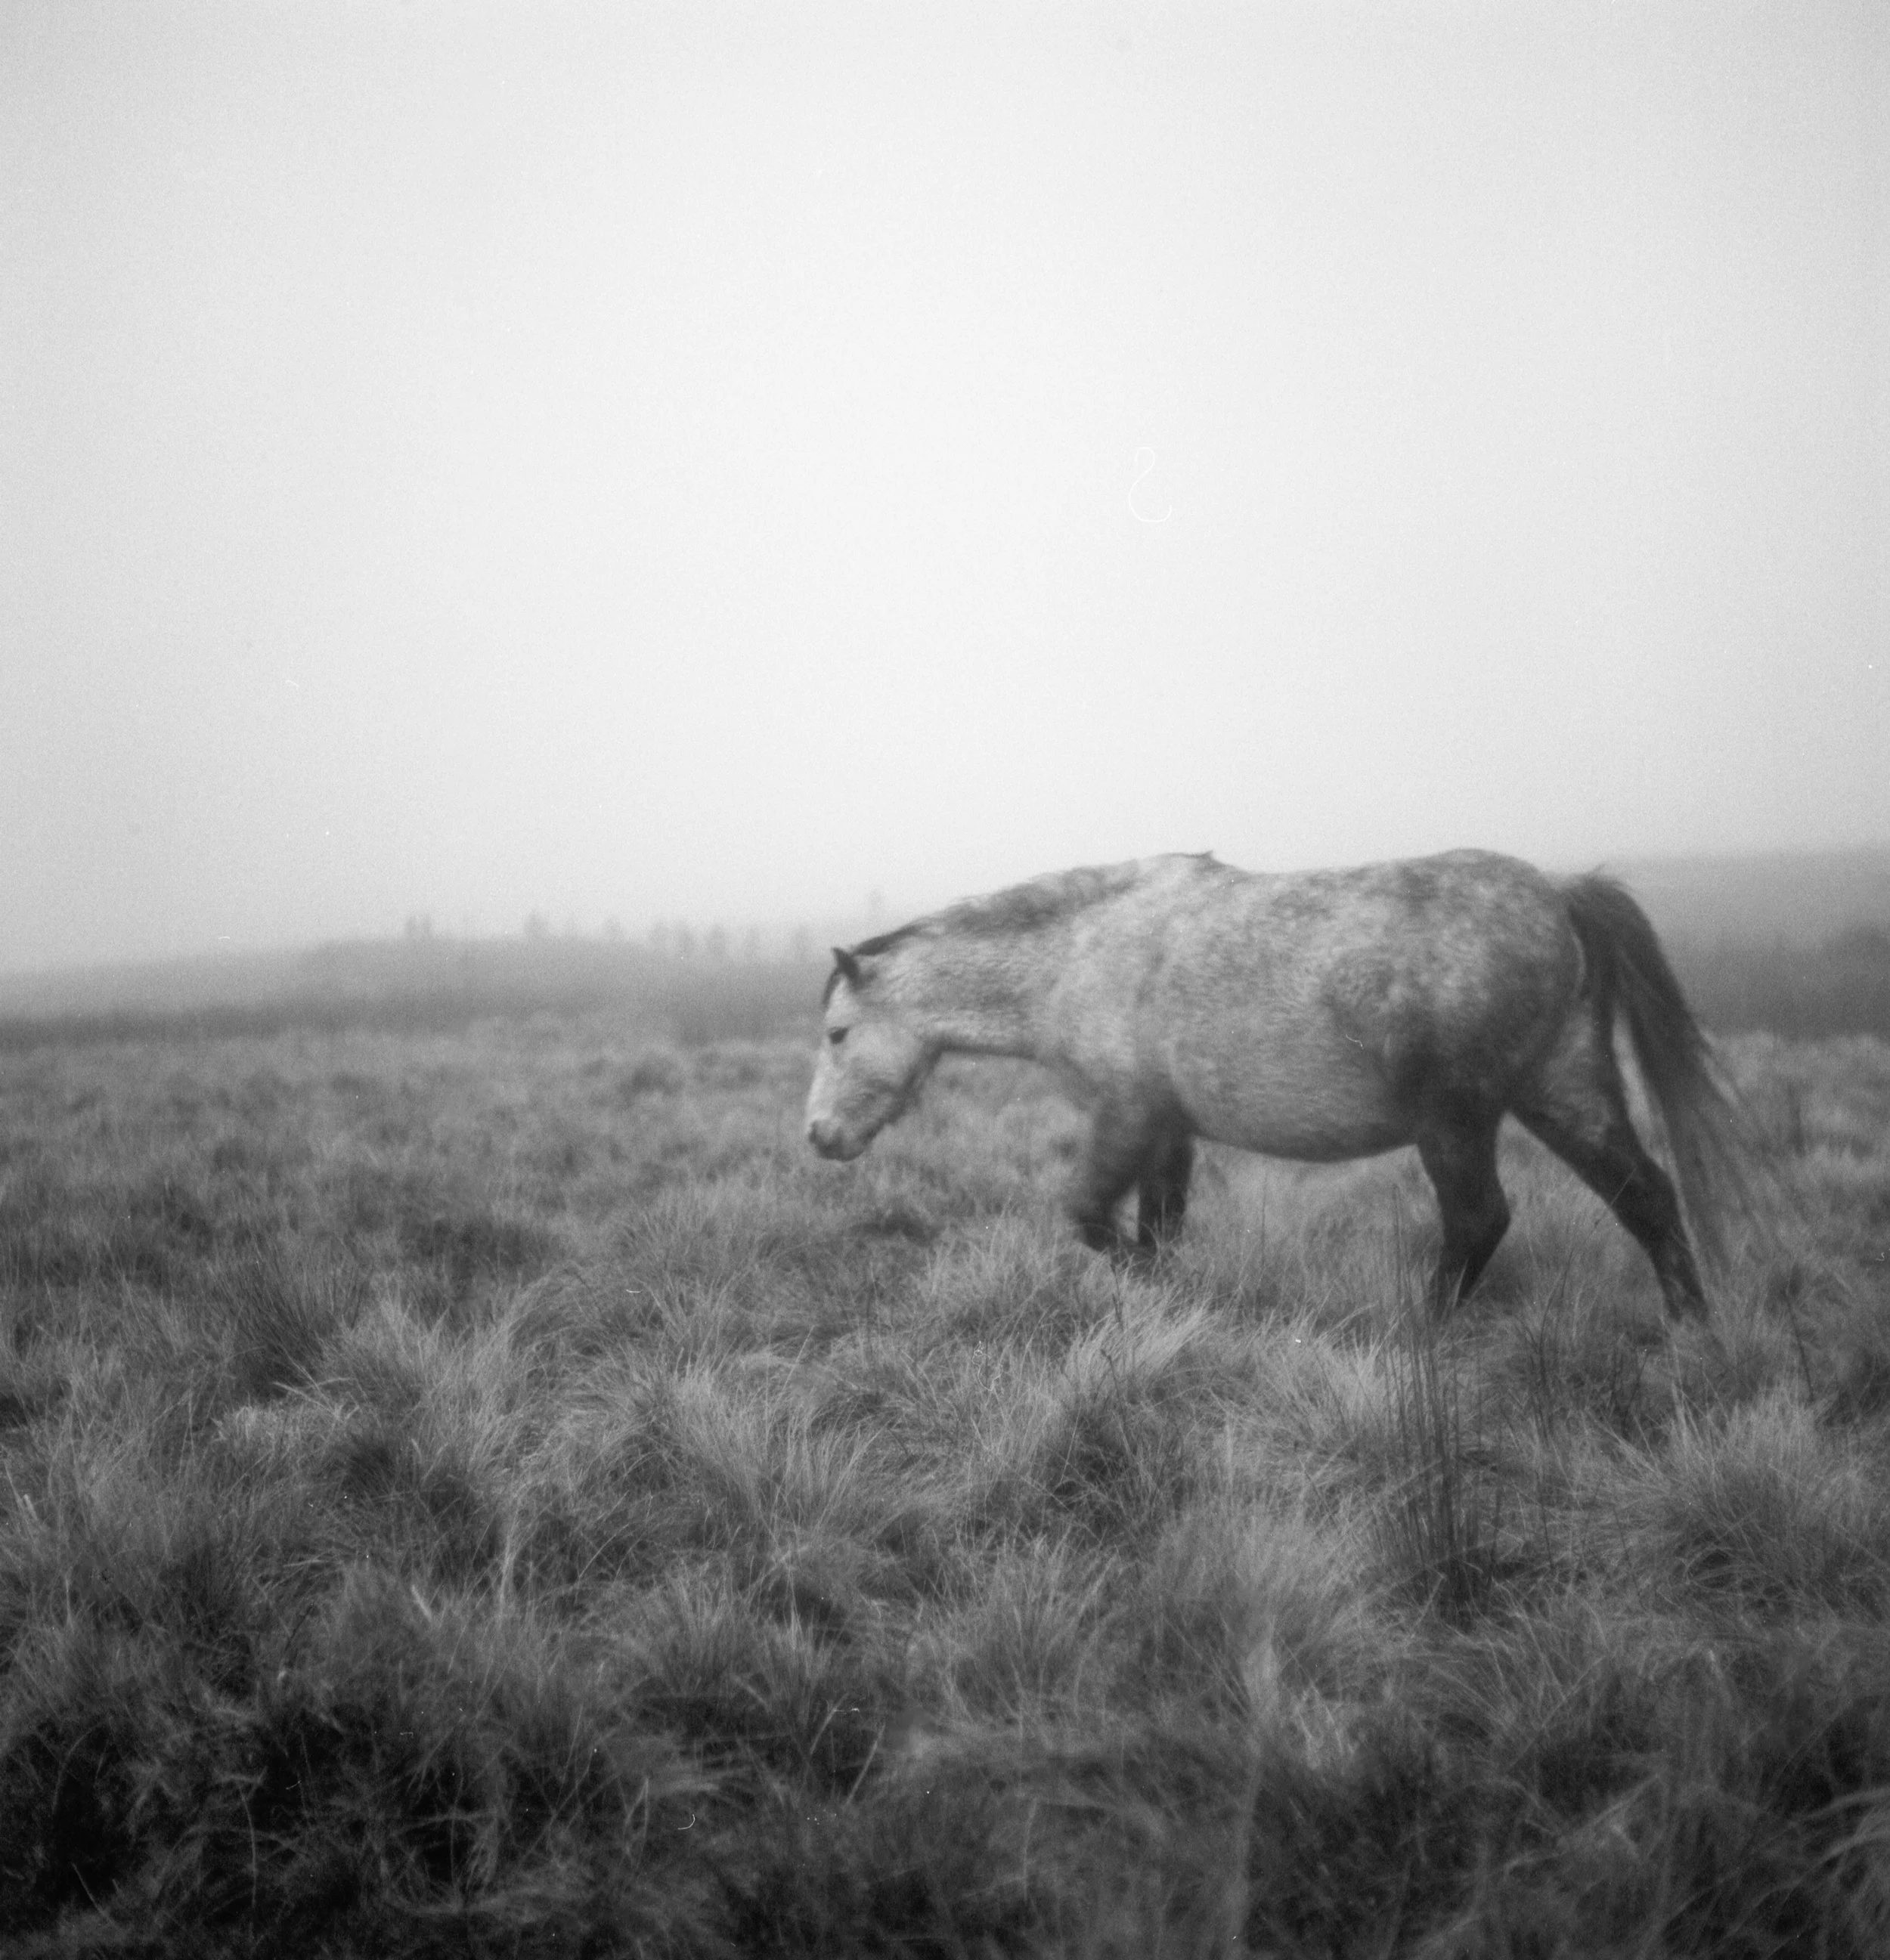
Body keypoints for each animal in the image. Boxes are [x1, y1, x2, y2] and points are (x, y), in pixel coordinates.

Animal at [804, 850, 1751, 1318]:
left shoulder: (1125, 1113)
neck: (1080, 949)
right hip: (1563, 1091)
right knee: (1645, 1197)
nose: (818, 1136)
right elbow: (1160, 1224)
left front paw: (1165, 1290)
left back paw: (1419, 1331)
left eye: (837, 1034)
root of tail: (1557, 894)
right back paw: (1691, 1328)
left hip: (1455, 1118)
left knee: (1480, 1219)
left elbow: (1091, 1220)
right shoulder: (1168, 1129)